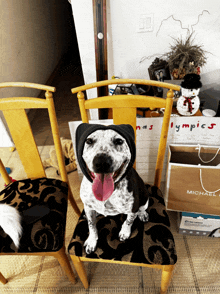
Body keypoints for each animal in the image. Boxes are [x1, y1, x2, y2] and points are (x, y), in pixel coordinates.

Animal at [75, 123, 150, 254]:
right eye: (89, 141)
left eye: (119, 141)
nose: (102, 162)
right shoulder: (88, 207)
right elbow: (91, 225)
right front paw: (92, 241)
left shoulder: (133, 208)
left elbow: (129, 221)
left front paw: (125, 232)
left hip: (145, 198)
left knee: (142, 209)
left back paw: (143, 214)